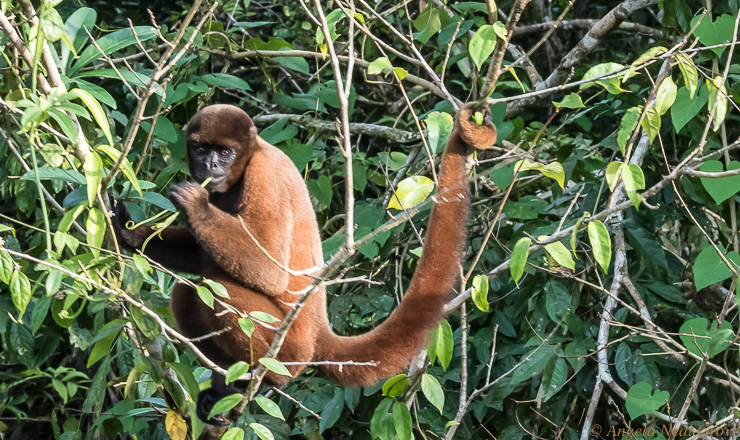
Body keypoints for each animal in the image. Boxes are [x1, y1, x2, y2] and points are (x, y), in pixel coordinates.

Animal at [112, 101, 494, 424]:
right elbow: (198, 251)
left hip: (290, 346)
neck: (251, 156)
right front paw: (131, 232)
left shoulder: (264, 177)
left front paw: (195, 205)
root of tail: (318, 334)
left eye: (225, 152)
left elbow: (271, 272)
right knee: (188, 293)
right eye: (202, 149)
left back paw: (264, 379)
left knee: (212, 287)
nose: (211, 166)